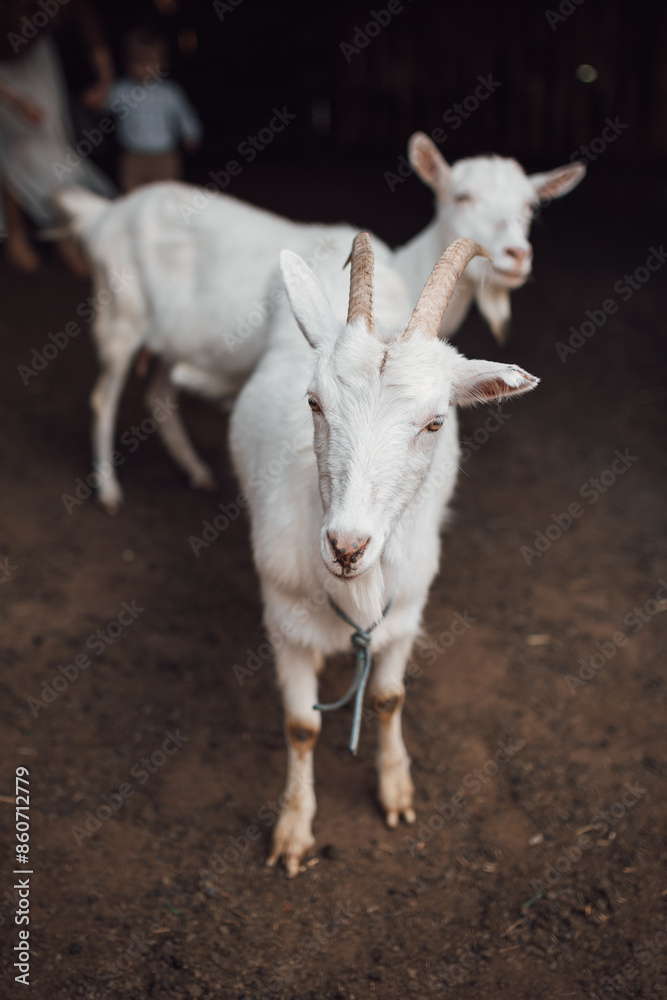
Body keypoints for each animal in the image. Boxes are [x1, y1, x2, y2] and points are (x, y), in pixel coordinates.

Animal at [56, 134, 580, 512]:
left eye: (530, 206)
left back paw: (198, 473)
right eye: (462, 196)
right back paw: (110, 493)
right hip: (119, 316)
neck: (404, 271)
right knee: (104, 397)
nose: (516, 255)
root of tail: (103, 215)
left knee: (160, 394)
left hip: (171, 338)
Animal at [232, 234, 540, 876]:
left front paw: (397, 791)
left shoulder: (405, 615)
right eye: (313, 402)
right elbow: (301, 726)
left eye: (435, 422)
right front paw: (293, 830)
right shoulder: (284, 622)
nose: (347, 545)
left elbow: (389, 697)